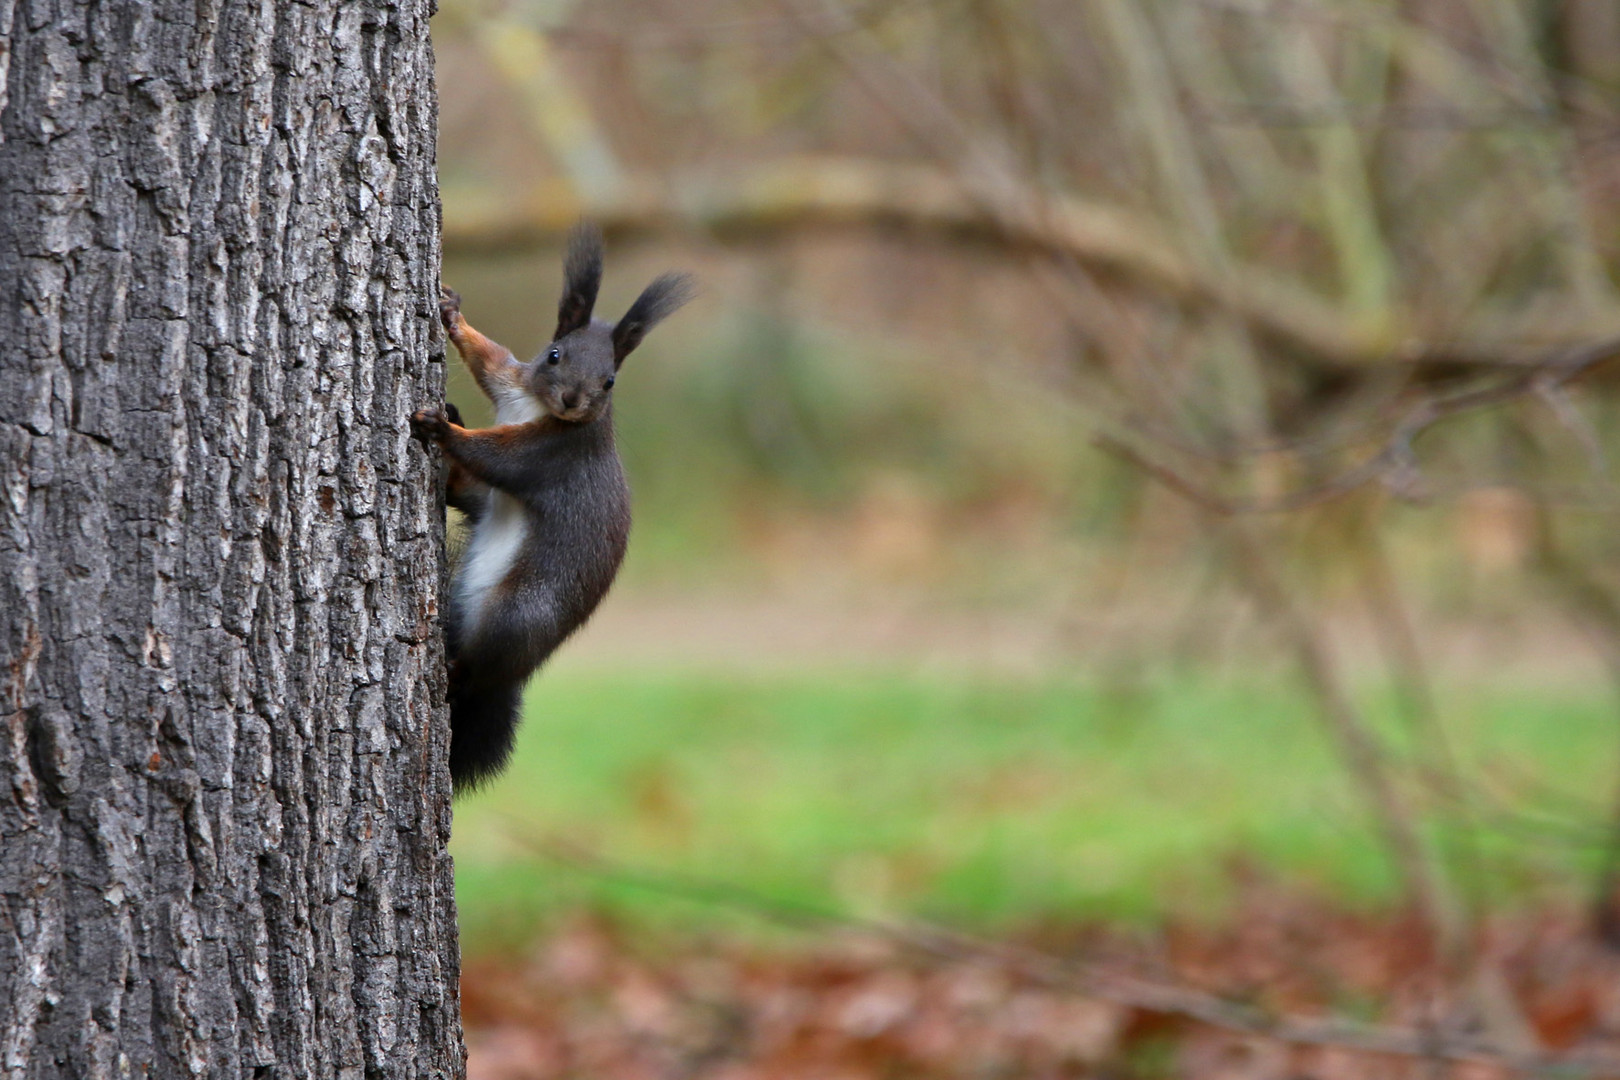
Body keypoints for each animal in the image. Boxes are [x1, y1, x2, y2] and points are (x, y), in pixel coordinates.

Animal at [414, 223, 693, 790]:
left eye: (610, 381)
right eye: (554, 355)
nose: (572, 400)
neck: (536, 407)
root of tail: (517, 671)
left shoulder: (552, 455)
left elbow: (498, 457)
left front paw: (445, 430)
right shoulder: (510, 381)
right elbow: (488, 357)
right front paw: (452, 314)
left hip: (516, 615)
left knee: (479, 667)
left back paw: (457, 671)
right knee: (471, 495)